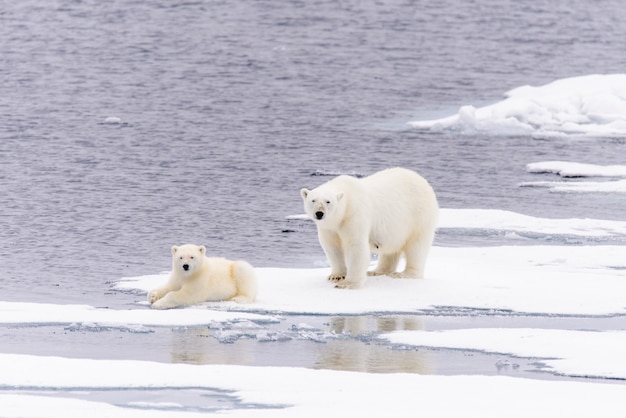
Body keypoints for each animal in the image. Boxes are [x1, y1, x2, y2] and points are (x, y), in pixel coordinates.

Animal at [298, 167, 436, 288]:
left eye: (328, 201)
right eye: (313, 200)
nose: (319, 213)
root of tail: (423, 181)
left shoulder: (354, 215)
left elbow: (356, 246)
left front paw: (347, 284)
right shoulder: (329, 227)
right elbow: (332, 247)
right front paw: (336, 276)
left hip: (419, 215)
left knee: (416, 246)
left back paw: (405, 274)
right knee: (391, 250)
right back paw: (376, 271)